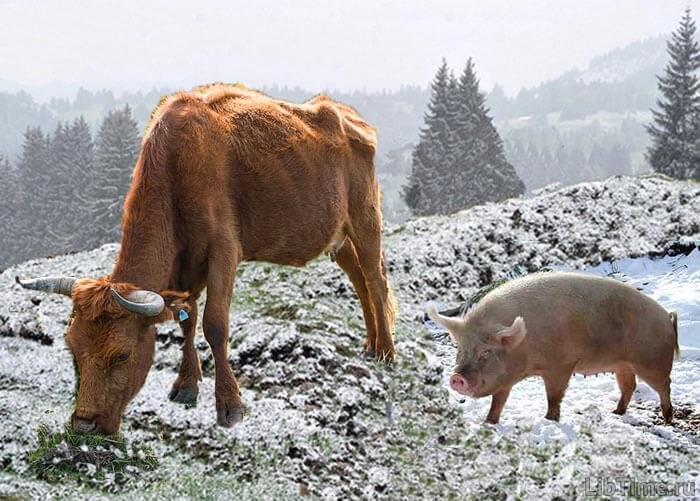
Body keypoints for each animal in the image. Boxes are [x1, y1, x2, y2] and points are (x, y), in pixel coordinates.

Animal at [17, 83, 397, 435]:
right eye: (72, 349)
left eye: (122, 354)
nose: (83, 424)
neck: (177, 164)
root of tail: (346, 113)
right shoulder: (184, 265)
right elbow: (187, 318)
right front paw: (186, 385)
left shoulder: (224, 251)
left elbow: (215, 324)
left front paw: (230, 405)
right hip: (337, 235)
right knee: (360, 280)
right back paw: (370, 344)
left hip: (365, 217)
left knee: (376, 279)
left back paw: (386, 352)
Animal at [427, 272, 679, 424]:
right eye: (460, 349)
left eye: (486, 351)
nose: (456, 378)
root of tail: (667, 317)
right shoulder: (506, 377)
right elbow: (498, 400)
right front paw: (489, 422)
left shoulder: (561, 365)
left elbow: (554, 396)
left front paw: (549, 420)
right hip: (622, 365)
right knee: (629, 386)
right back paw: (615, 412)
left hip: (653, 361)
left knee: (664, 385)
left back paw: (667, 419)